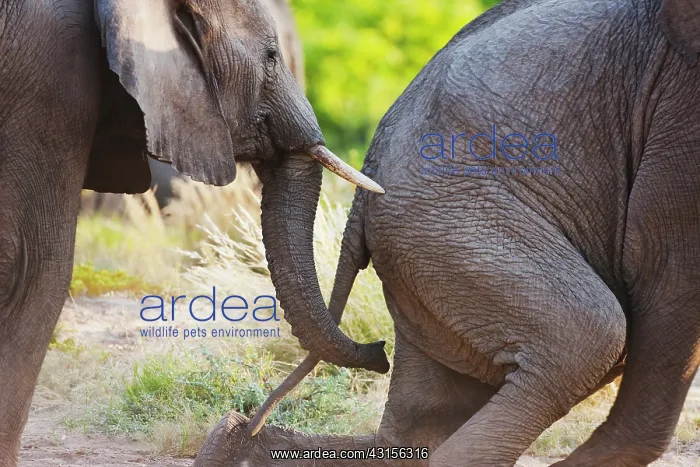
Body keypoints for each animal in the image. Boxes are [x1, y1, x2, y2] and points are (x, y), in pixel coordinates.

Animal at [193, 0, 700, 466]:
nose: (377, 351)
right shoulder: (678, 102)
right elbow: (669, 266)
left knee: (418, 426)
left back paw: (229, 442)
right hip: (451, 227)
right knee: (590, 337)